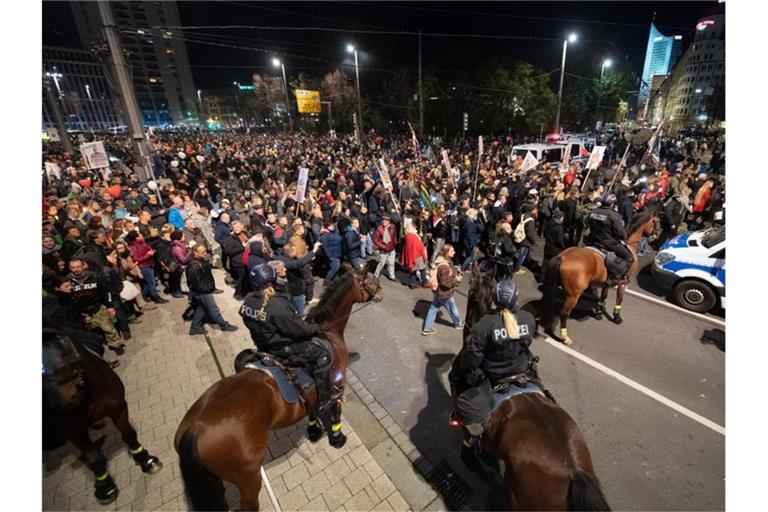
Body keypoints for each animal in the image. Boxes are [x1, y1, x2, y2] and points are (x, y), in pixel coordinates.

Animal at [43, 328, 162, 504]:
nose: (53, 411)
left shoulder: (118, 408)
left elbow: (129, 434)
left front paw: (145, 459)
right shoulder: (74, 430)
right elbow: (93, 456)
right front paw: (105, 486)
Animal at [171, 266, 380, 510]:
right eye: (371, 282)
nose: (381, 292)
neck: (328, 334)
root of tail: (194, 430)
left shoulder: (311, 393)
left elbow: (311, 409)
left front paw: (314, 431)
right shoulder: (337, 384)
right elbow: (335, 412)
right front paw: (337, 438)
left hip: (214, 480)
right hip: (249, 478)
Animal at [540, 206, 660, 346]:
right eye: (656, 221)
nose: (655, 236)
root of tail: (562, 257)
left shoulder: (605, 284)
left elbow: (603, 297)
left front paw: (598, 312)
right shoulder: (623, 283)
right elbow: (619, 299)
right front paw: (617, 317)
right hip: (573, 296)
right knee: (564, 313)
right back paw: (565, 338)